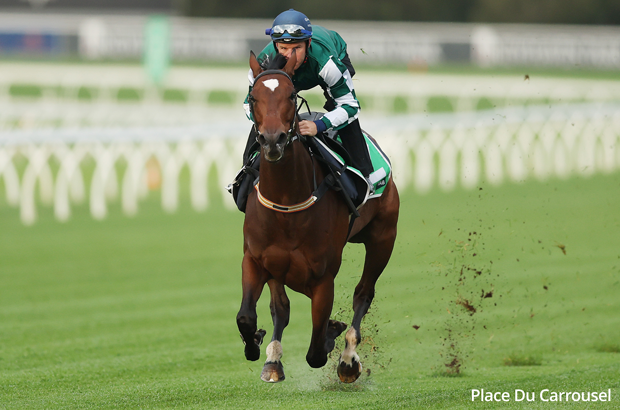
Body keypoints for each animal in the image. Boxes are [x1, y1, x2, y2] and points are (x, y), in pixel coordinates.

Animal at [235, 51, 400, 384]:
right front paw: (257, 346)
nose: (272, 140)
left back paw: (348, 357)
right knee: (281, 306)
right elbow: (248, 315)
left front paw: (332, 336)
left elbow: (315, 352)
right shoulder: (257, 259)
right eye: (253, 97)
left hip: (383, 238)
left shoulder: (323, 276)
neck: (288, 201)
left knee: (364, 293)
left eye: (290, 95)